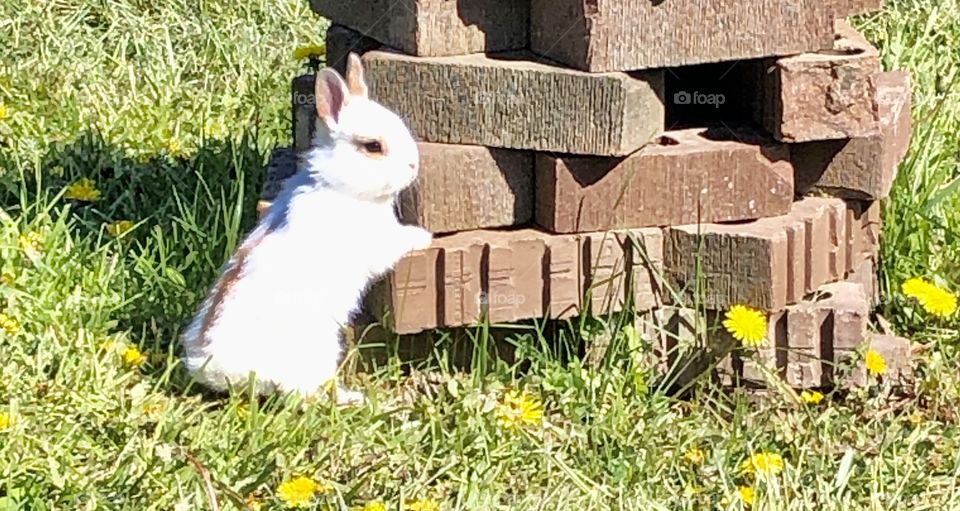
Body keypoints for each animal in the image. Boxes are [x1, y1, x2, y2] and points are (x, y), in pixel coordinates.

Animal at [181, 54, 432, 405]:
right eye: (372, 146)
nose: (413, 166)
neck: (338, 185)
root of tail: (218, 368)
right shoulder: (375, 245)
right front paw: (422, 237)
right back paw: (353, 399)